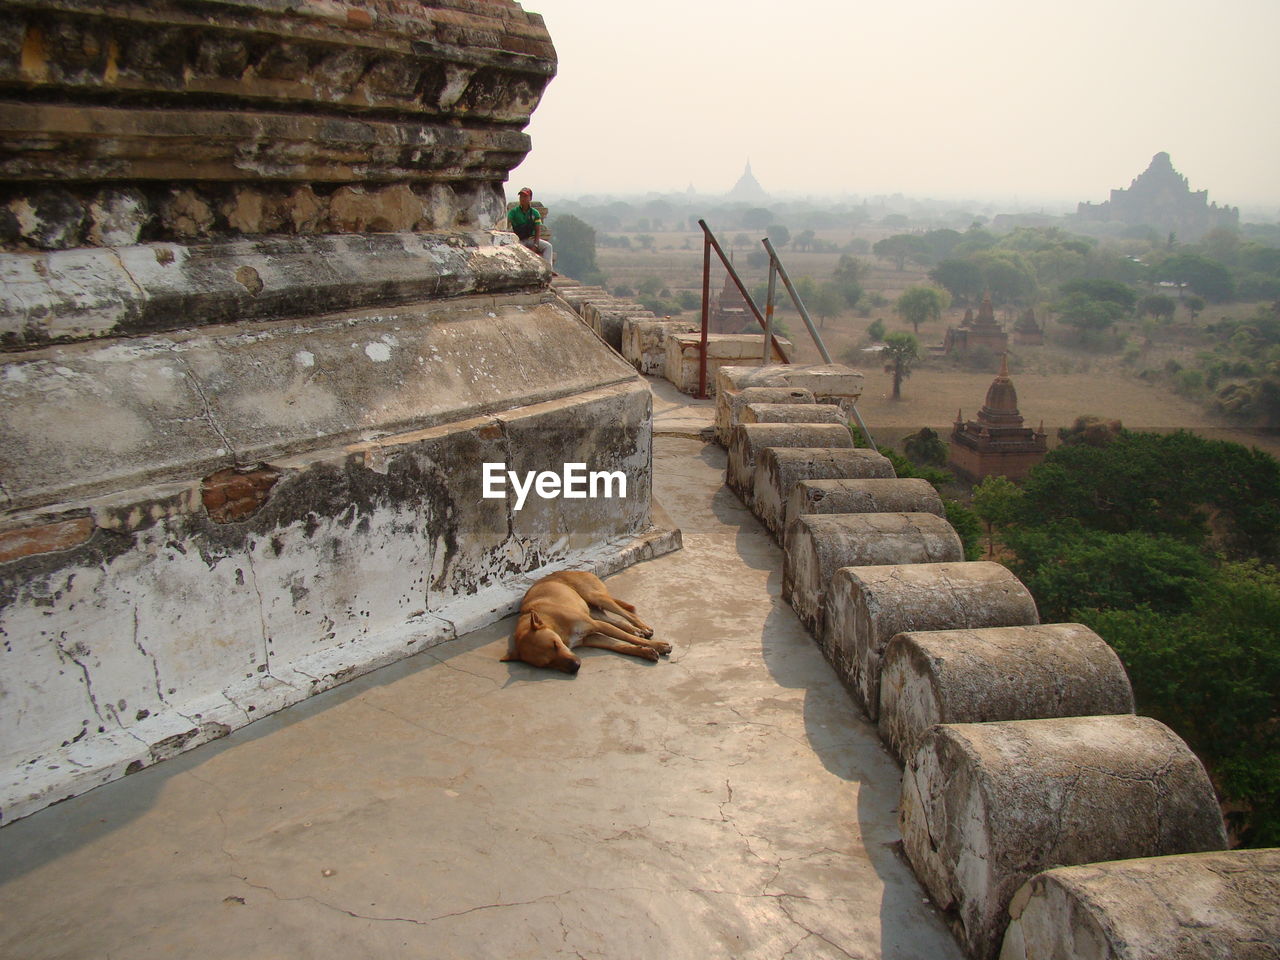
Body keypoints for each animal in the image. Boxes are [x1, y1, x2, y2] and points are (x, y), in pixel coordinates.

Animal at [499, 570, 670, 675]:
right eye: (547, 664)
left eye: (555, 644)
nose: (576, 666)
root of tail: (575, 570)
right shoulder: (591, 637)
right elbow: (622, 646)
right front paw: (645, 652)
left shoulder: (596, 626)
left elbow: (628, 639)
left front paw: (658, 646)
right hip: (594, 612)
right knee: (617, 622)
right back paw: (636, 630)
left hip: (596, 597)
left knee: (628, 614)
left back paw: (643, 628)